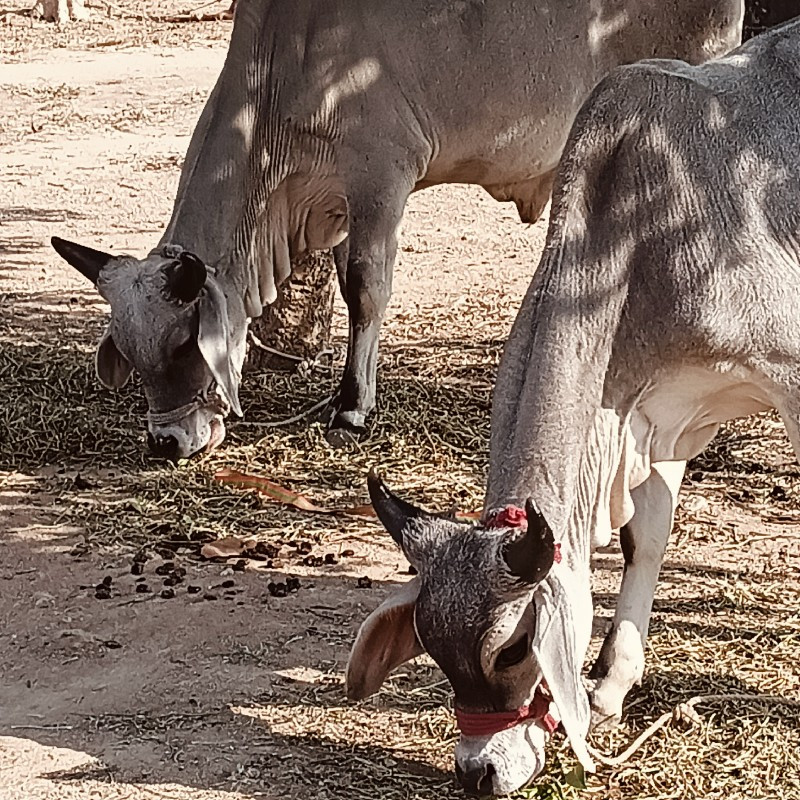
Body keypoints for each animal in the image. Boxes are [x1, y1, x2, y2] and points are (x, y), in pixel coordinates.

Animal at [50, 0, 740, 460]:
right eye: (131, 355)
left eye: (182, 345)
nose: (166, 441)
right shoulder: (334, 206)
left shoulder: (382, 177)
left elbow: (365, 290)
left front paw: (352, 405)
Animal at [344, 15, 800, 796]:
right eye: (430, 647)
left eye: (513, 648)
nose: (478, 771)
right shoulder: (652, 413)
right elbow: (645, 536)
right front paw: (611, 685)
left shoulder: (788, 371)